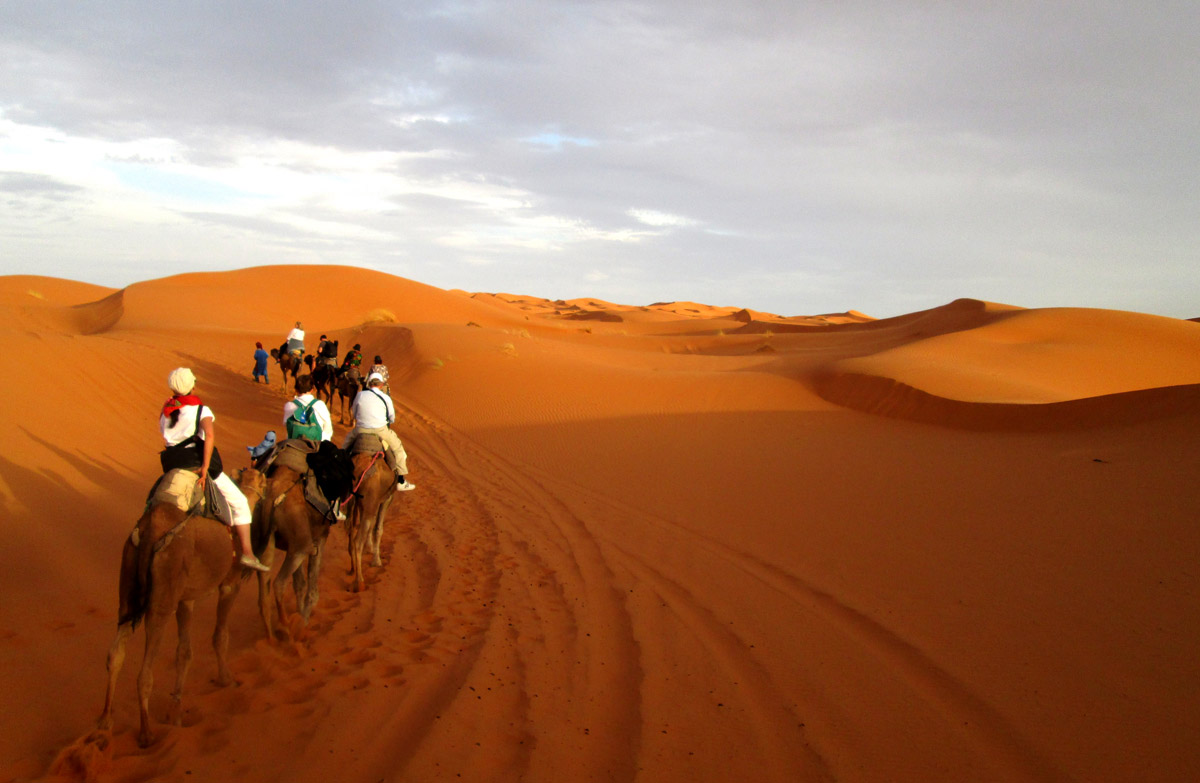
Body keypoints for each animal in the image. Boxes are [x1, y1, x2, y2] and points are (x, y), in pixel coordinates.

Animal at [99, 465, 267, 744]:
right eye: (264, 481)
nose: (265, 490)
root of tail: (150, 531)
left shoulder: (186, 598)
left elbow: (184, 651)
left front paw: (175, 713)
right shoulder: (229, 584)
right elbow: (220, 636)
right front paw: (226, 679)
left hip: (128, 587)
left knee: (115, 653)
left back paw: (104, 722)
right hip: (162, 596)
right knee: (145, 670)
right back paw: (146, 733)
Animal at [255, 465, 333, 643]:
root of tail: (273, 500)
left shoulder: (293, 544)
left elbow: (299, 583)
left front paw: (300, 614)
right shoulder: (319, 537)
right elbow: (311, 588)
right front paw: (303, 621)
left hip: (268, 543)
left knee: (264, 594)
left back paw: (271, 639)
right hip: (301, 547)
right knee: (278, 583)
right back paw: (285, 625)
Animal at [343, 446, 393, 593]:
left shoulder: (364, 504)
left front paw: (370, 548)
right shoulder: (386, 499)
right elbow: (378, 529)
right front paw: (376, 561)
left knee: (351, 530)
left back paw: (352, 569)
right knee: (357, 540)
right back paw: (359, 582)